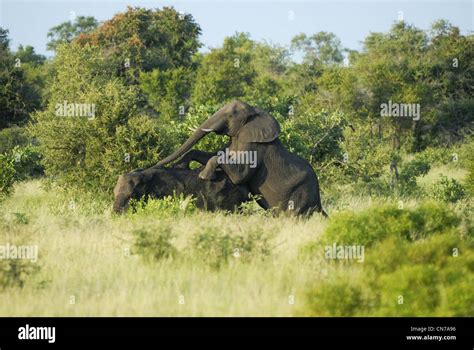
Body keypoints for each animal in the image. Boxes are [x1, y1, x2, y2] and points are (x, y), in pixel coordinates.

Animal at [156, 98, 326, 217]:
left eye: (230, 115)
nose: (156, 164)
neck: (254, 114)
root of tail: (319, 203)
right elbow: (216, 154)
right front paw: (180, 166)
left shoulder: (254, 146)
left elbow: (240, 175)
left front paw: (204, 175)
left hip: (301, 195)